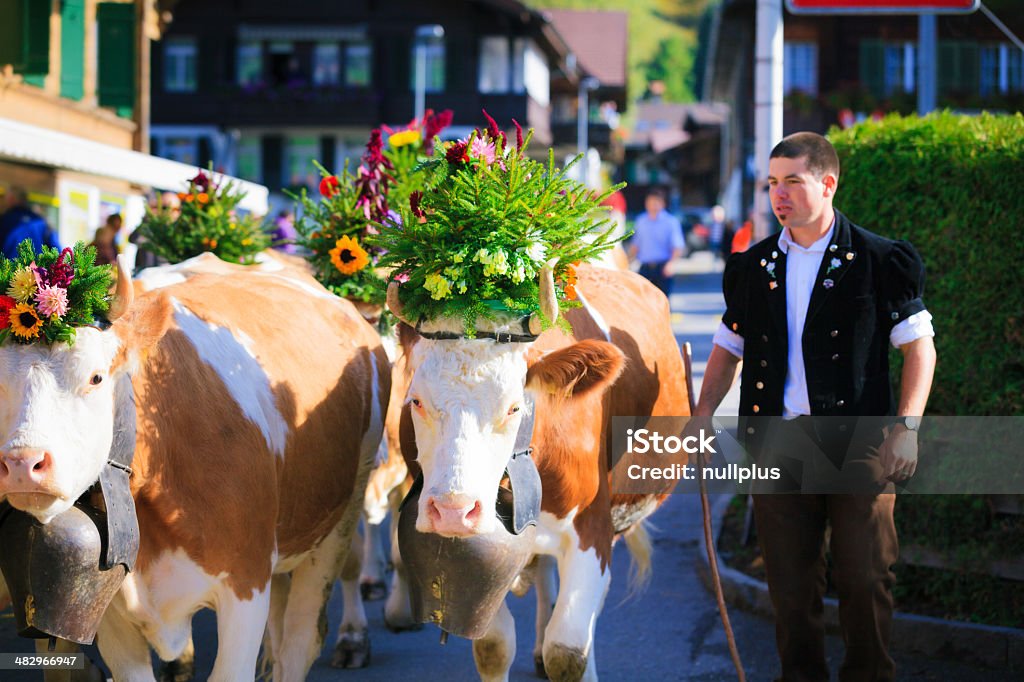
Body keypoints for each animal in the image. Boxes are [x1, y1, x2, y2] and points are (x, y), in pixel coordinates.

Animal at [0, 253, 387, 679]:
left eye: (96, 377)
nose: (23, 462)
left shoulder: (247, 583)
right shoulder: (108, 612)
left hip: (341, 517)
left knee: (303, 637)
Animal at [387, 262, 692, 675]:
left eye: (515, 406)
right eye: (416, 400)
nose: (452, 511)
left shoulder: (592, 530)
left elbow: (567, 650)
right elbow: (493, 647)